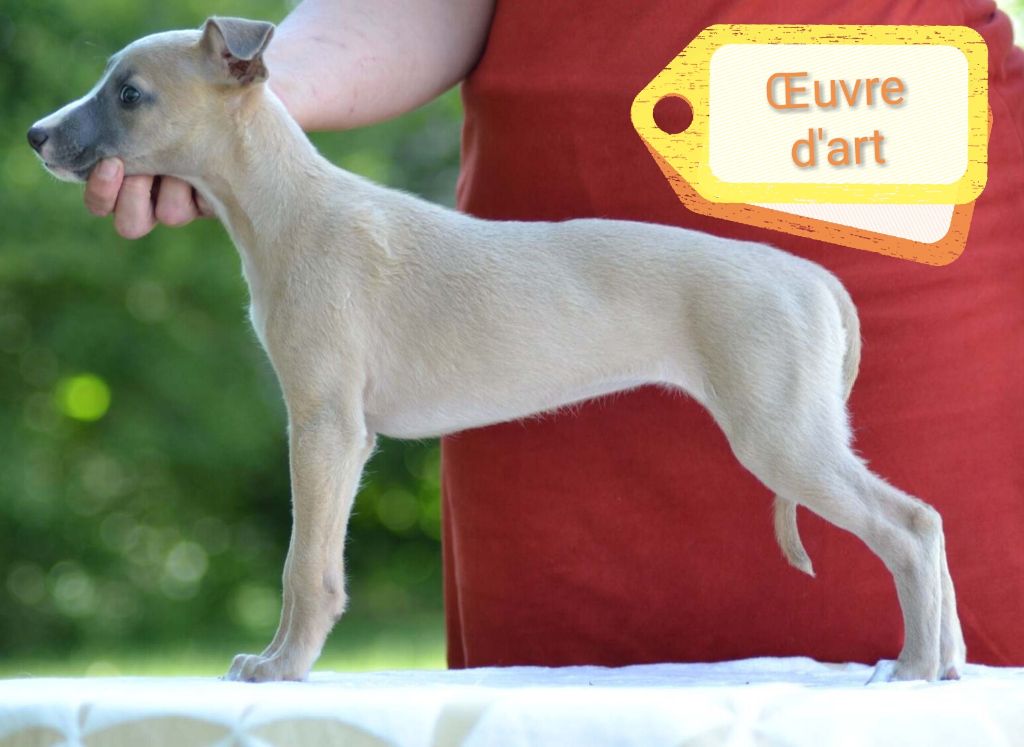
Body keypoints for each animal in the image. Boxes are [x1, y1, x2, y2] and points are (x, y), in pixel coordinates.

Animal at [28, 16, 965, 684]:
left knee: (907, 526)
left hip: (781, 432)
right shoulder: (342, 430)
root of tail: (807, 273)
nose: (36, 135)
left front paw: (280, 666)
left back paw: (912, 668)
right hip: (799, 430)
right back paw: (948, 664)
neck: (289, 206)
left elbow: (306, 563)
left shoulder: (326, 424)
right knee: (926, 517)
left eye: (130, 93)